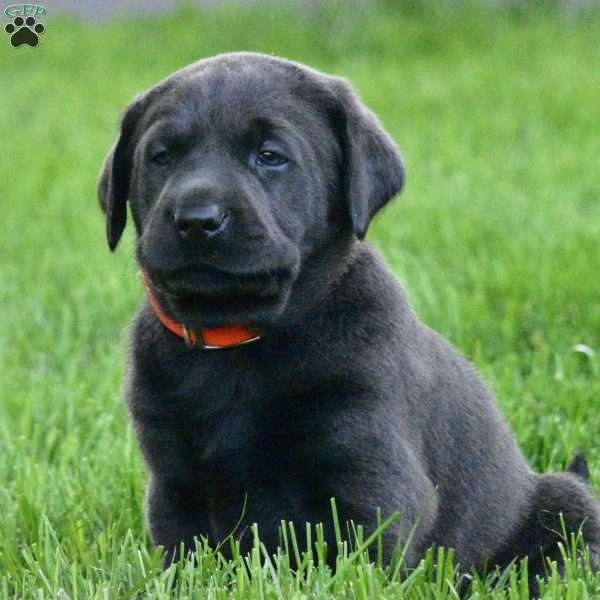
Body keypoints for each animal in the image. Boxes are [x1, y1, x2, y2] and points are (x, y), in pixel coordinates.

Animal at [98, 51, 600, 584]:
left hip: (564, 506)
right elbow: (184, 554)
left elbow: (356, 562)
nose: (197, 220)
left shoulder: (371, 475)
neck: (239, 337)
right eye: (162, 157)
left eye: (270, 156)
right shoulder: (173, 481)